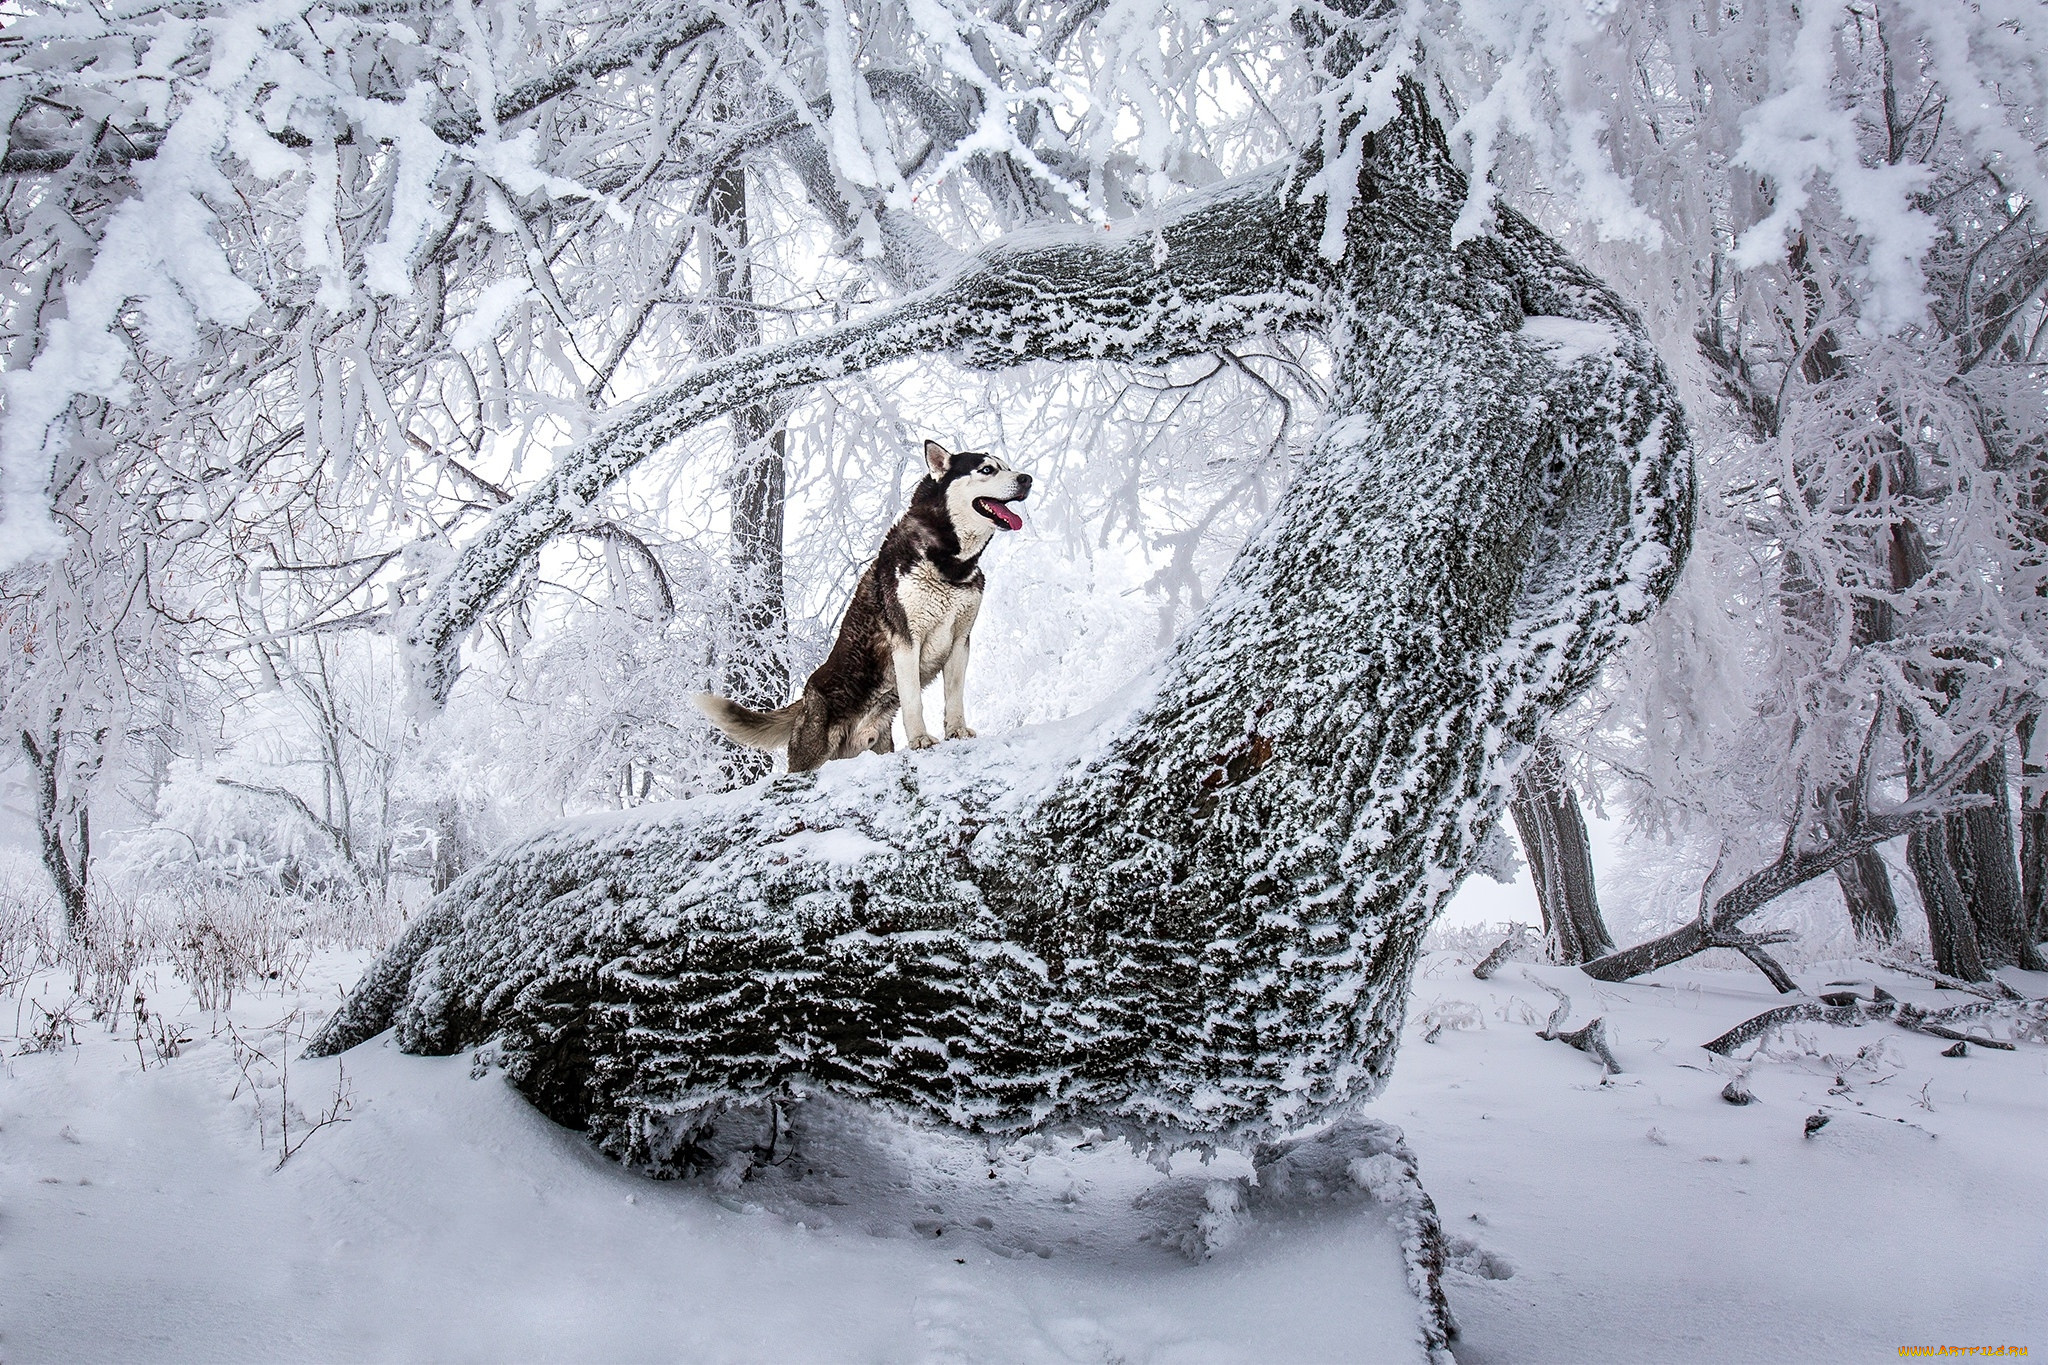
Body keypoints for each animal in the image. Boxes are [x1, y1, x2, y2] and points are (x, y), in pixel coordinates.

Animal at [696, 439, 1032, 773]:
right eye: (987, 469)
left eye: (1007, 466)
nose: (1027, 478)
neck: (951, 565)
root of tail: (805, 697)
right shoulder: (906, 640)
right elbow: (913, 700)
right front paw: (920, 739)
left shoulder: (960, 640)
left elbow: (955, 696)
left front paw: (957, 731)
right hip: (812, 755)